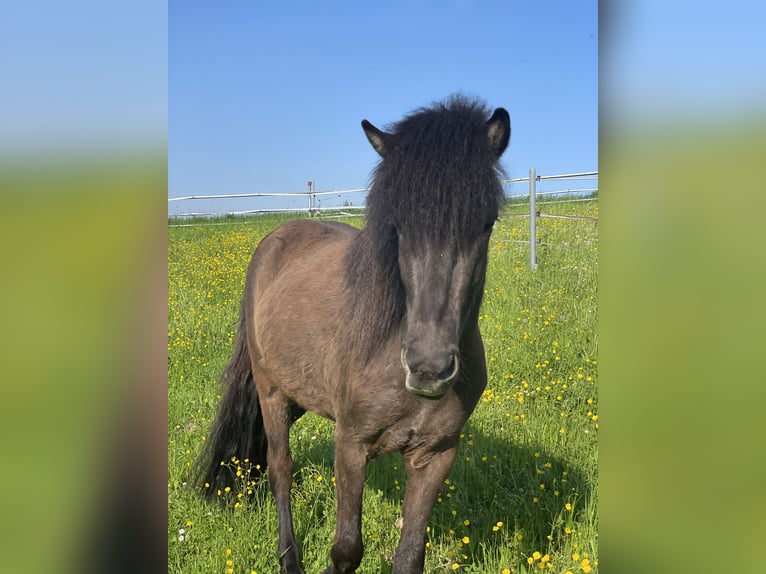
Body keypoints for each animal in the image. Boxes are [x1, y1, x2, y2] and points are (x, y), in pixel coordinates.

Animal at [195, 97, 512, 572]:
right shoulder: (351, 445)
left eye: (487, 223)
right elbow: (346, 549)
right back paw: (289, 558)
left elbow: (409, 557)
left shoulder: (436, 455)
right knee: (280, 468)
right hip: (271, 393)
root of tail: (276, 237)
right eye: (398, 226)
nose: (429, 368)